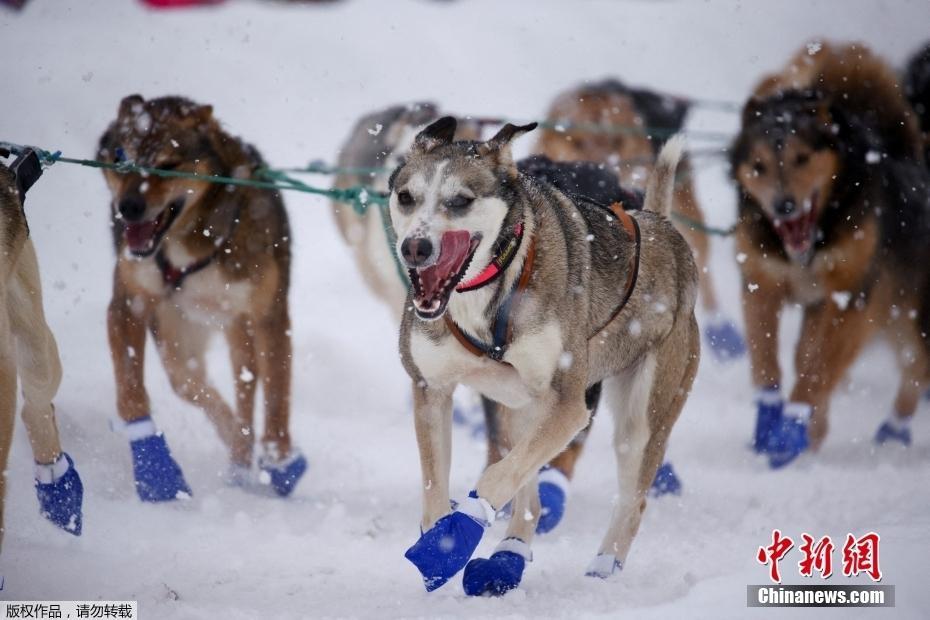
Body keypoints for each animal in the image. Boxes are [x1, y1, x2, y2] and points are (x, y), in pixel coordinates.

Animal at [99, 98, 306, 504]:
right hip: (177, 335)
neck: (190, 241)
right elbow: (130, 393)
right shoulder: (128, 303)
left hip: (237, 325)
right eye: (120, 157)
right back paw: (238, 452)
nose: (128, 207)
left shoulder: (269, 315)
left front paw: (280, 461)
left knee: (248, 382)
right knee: (194, 383)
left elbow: (276, 393)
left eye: (167, 164)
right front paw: (155, 472)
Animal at [390, 117, 696, 596]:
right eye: (406, 196)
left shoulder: (569, 405)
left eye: (461, 201)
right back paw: (509, 555)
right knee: (527, 491)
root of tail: (661, 226)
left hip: (642, 417)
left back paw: (604, 563)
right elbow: (436, 486)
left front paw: (457, 533)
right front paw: (443, 539)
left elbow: (497, 477)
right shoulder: (431, 388)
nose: (415, 248)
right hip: (518, 406)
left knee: (632, 498)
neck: (488, 288)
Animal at [732, 41, 928, 464]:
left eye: (802, 158)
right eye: (759, 165)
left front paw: (793, 425)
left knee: (916, 369)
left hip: (911, 315)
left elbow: (816, 371)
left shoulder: (850, 296)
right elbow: (766, 360)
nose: (784, 206)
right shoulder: (762, 281)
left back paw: (891, 434)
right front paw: (771, 422)